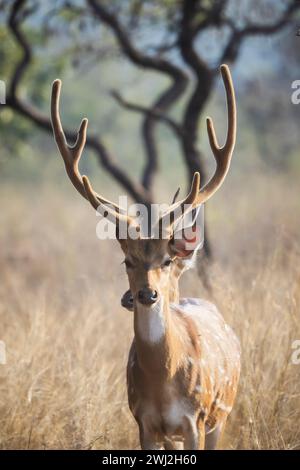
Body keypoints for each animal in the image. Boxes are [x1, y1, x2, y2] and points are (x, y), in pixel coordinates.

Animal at [50, 64, 240, 450]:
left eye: (166, 260)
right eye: (128, 261)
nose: (145, 294)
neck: (163, 382)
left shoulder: (196, 420)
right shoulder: (144, 422)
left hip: (222, 413)